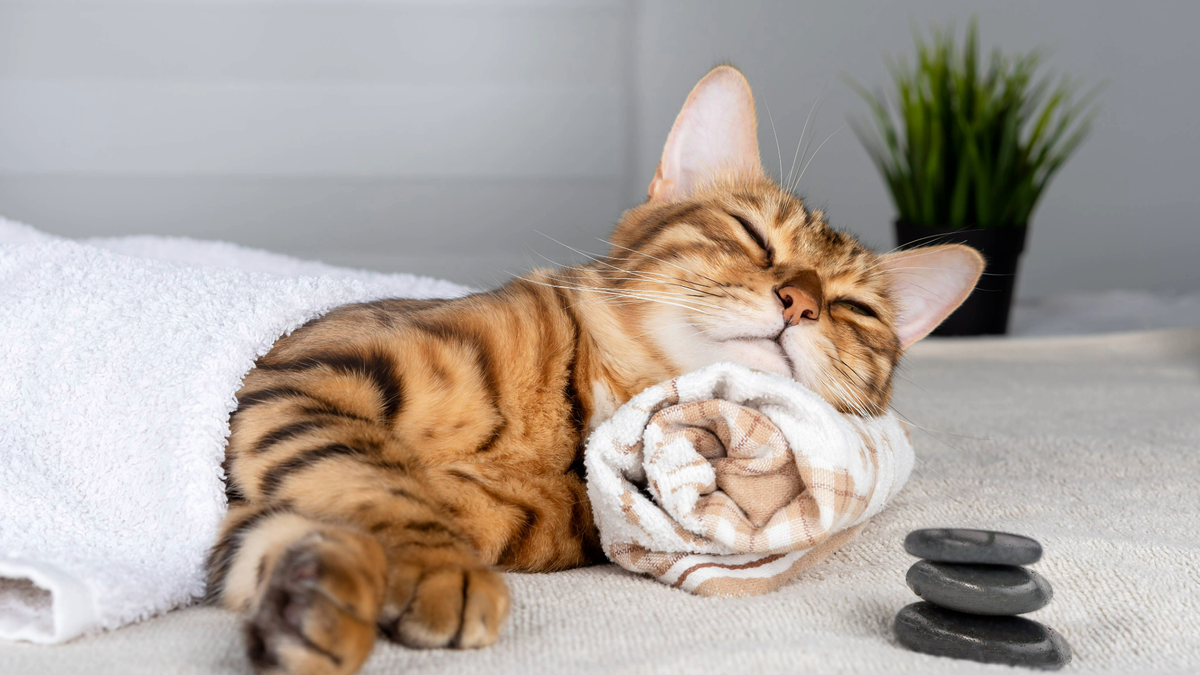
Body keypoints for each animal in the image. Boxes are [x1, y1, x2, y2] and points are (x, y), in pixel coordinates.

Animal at [208, 64, 984, 672]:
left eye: (855, 308)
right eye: (752, 236)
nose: (801, 303)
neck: (576, 418)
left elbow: (301, 523)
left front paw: (312, 604)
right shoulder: (307, 374)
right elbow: (377, 479)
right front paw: (441, 568)